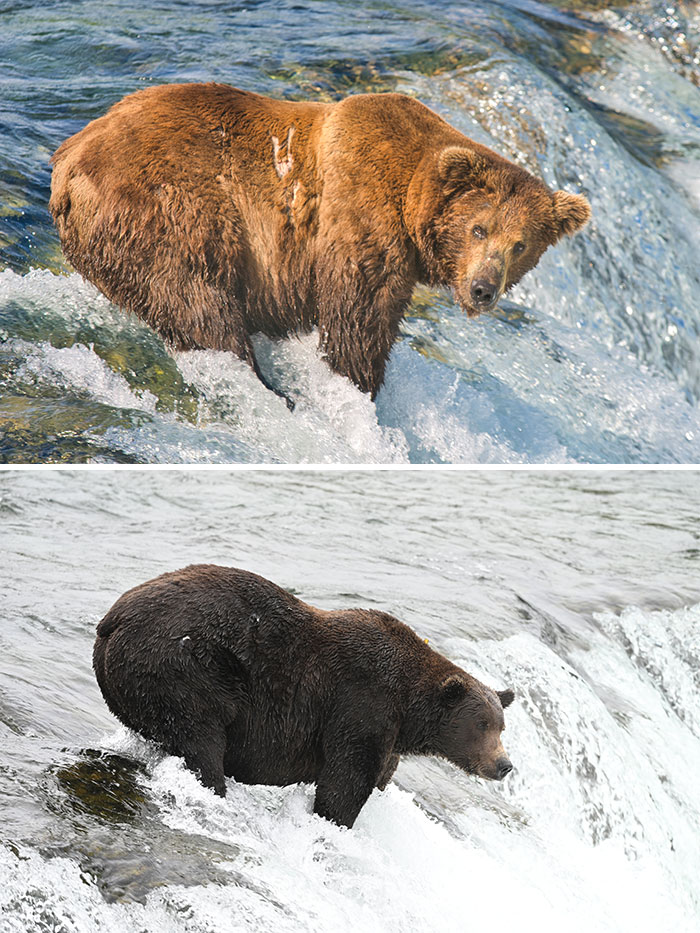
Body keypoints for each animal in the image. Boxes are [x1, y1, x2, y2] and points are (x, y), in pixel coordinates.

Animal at [50, 83, 590, 403]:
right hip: (168, 207)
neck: (411, 196)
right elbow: (358, 315)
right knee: (197, 300)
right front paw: (357, 387)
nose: (482, 289)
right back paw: (269, 388)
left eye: (521, 245)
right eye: (479, 228)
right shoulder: (359, 210)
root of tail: (67, 162)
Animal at [93, 564, 514, 828]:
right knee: (201, 738)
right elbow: (345, 782)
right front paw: (334, 821)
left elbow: (378, 775)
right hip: (185, 666)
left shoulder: (389, 735)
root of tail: (113, 619)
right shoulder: (362, 705)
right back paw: (214, 786)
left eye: (501, 726)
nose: (504, 765)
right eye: (482, 724)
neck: (410, 712)